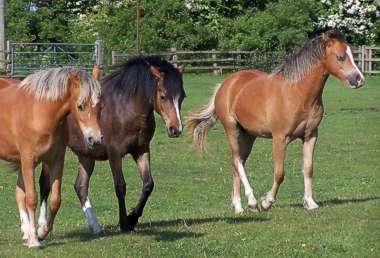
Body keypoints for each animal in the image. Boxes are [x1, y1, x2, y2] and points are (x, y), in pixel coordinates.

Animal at [0, 68, 102, 248]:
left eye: (101, 107)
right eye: (80, 106)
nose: (95, 140)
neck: (39, 112)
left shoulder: (56, 160)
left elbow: (55, 200)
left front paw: (40, 232)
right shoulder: (28, 161)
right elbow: (31, 198)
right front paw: (35, 241)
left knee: (19, 192)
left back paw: (26, 232)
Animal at [39, 56, 186, 234]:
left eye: (182, 97)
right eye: (163, 96)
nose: (176, 129)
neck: (125, 108)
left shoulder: (141, 150)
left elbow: (148, 184)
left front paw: (133, 217)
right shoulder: (114, 154)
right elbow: (120, 186)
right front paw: (124, 223)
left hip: (86, 155)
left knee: (80, 186)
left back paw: (96, 227)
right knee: (44, 185)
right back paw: (41, 226)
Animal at [186, 30, 364, 214]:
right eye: (340, 56)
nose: (359, 79)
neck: (297, 93)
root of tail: (225, 84)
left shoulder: (310, 136)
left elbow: (308, 169)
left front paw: (310, 202)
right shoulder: (279, 138)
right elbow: (279, 173)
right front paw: (267, 201)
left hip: (248, 136)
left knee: (236, 164)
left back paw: (238, 206)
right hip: (232, 130)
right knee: (237, 161)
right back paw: (251, 202)